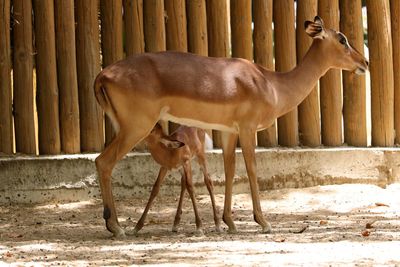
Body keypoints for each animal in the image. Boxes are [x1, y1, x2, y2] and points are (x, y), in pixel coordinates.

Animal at [94, 16, 368, 239]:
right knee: (103, 162)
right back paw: (116, 227)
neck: (272, 84)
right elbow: (252, 170)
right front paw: (263, 222)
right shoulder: (247, 129)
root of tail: (102, 75)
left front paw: (230, 223)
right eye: (342, 38)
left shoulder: (228, 131)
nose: (364, 62)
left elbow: (229, 170)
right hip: (136, 128)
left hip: (127, 129)